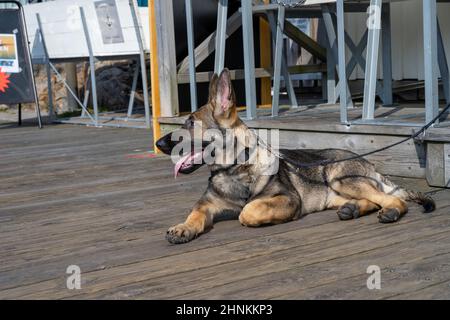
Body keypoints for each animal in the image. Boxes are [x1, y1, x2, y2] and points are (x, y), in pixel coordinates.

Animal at [156, 69, 434, 244]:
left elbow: (248, 209)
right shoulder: (205, 205)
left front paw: (254, 212)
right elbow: (194, 215)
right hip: (336, 193)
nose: (158, 143)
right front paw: (183, 227)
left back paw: (390, 211)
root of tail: (371, 165)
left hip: (340, 179)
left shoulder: (288, 199)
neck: (234, 168)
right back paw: (352, 209)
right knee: (373, 200)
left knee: (393, 199)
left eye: (190, 123)